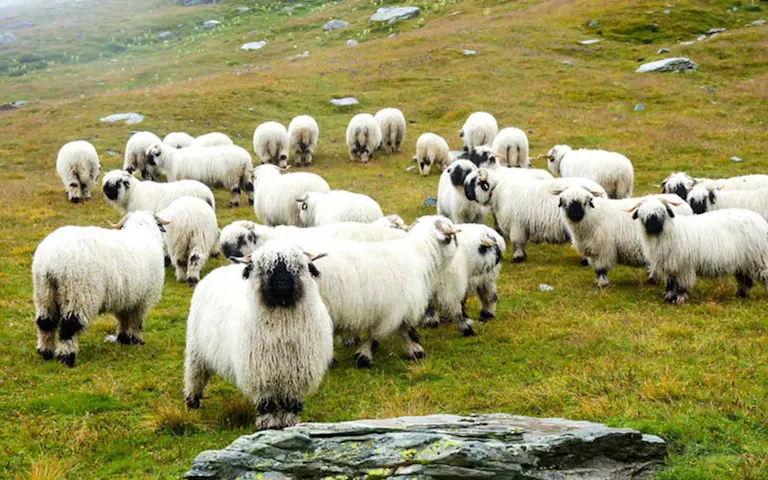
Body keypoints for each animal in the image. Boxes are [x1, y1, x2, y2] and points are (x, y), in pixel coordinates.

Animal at [32, 211, 167, 367]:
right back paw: (67, 357)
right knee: (69, 326)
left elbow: (123, 319)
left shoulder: (125, 298)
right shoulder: (142, 300)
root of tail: (52, 261)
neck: (141, 231)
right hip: (80, 294)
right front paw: (137, 340)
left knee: (45, 322)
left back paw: (46, 352)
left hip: (44, 293)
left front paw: (123, 339)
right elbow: (136, 322)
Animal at [183, 243, 333, 429]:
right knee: (194, 375)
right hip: (196, 349)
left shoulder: (296, 375)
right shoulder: (261, 373)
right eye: (265, 268)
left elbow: (290, 405)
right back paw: (192, 402)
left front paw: (288, 425)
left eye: (297, 267)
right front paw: (269, 426)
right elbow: (267, 405)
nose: (282, 282)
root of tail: (219, 270)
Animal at [464, 168, 607, 263]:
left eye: (475, 181)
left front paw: (518, 258)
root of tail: (601, 191)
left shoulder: (517, 225)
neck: (498, 190)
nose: (466, 193)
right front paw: (523, 255)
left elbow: (517, 242)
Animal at [554, 186, 693, 287]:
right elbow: (596, 269)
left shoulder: (602, 249)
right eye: (564, 202)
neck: (593, 217)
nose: (575, 214)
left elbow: (600, 268)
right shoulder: (593, 251)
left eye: (585, 202)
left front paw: (602, 283)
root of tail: (682, 202)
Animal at [630, 198, 768, 304]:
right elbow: (671, 284)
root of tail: (760, 220)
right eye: (643, 216)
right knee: (745, 280)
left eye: (661, 213)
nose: (653, 225)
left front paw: (679, 299)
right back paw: (741, 295)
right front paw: (669, 298)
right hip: (743, 261)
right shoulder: (670, 266)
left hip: (759, 259)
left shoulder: (683, 267)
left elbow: (680, 285)